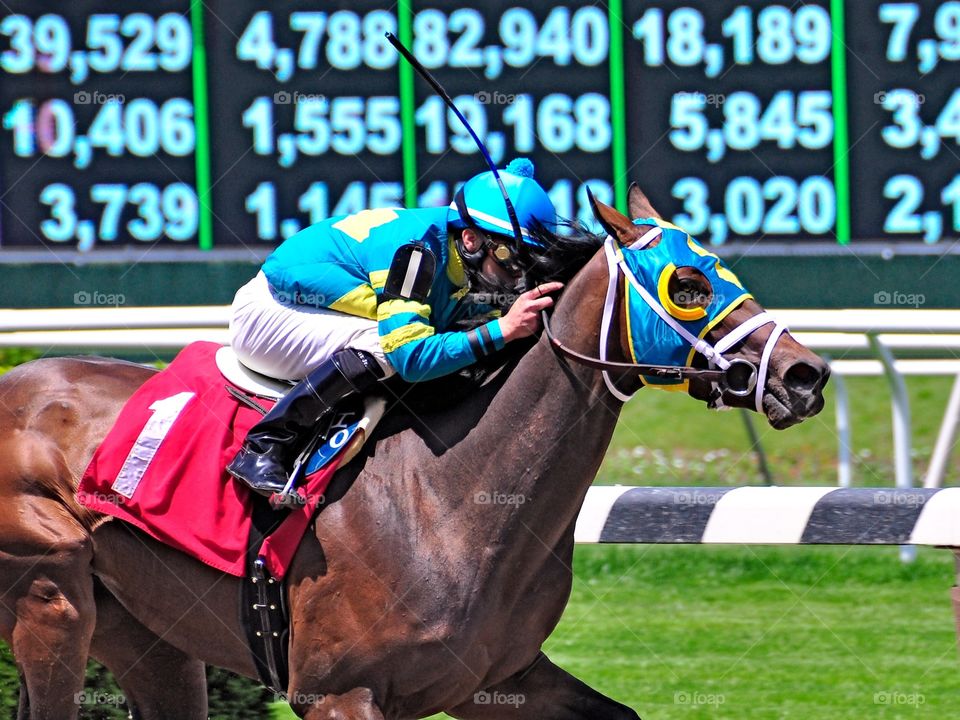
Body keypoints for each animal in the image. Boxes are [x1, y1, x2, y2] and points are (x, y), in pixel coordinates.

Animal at [0, 188, 828, 716]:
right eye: (687, 282)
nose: (806, 374)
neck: (445, 500)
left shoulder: (498, 679)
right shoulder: (338, 695)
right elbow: (397, 342)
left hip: (150, 635)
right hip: (53, 598)